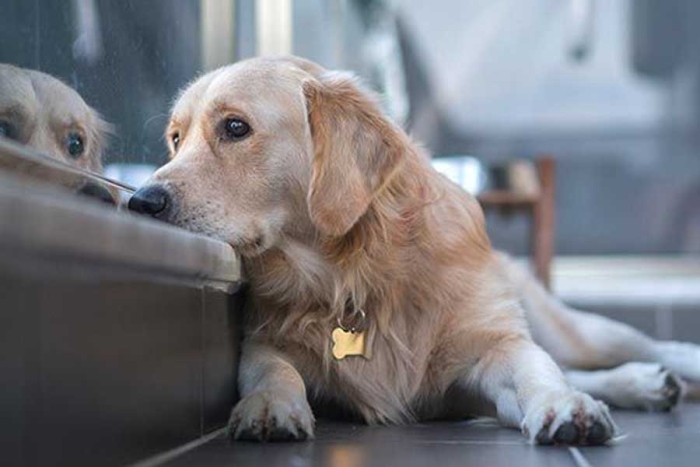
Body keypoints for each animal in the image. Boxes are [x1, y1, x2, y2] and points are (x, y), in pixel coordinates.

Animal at [127, 57, 700, 446]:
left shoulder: (494, 346)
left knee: (628, 346)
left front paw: (565, 407)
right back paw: (646, 385)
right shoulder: (265, 340)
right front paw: (269, 405)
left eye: (235, 127)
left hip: (565, 326)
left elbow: (537, 372)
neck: (353, 274)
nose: (141, 201)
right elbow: (272, 370)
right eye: (175, 139)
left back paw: (659, 372)